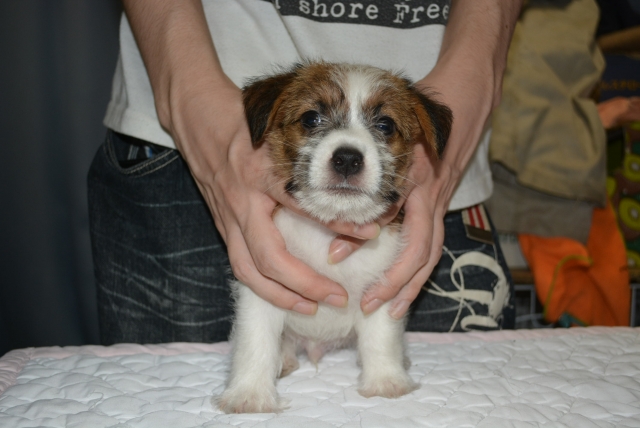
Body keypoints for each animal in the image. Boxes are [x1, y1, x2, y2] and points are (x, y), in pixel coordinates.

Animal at [217, 62, 452, 414]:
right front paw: (250, 394)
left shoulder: (381, 288)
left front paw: (386, 381)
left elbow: (381, 337)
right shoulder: (262, 287)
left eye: (385, 125)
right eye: (311, 118)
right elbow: (255, 341)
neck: (329, 230)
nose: (347, 159)